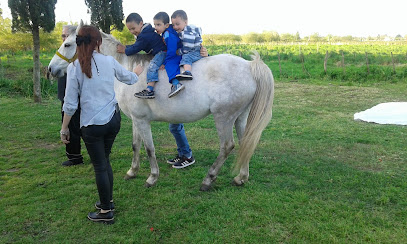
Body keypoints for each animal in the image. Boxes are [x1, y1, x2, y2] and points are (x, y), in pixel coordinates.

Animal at [49, 21, 276, 191]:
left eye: (68, 44)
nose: (51, 69)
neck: (127, 70)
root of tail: (249, 66)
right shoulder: (136, 120)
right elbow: (136, 145)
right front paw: (132, 172)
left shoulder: (143, 121)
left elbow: (149, 148)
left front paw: (152, 177)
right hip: (240, 117)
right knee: (246, 142)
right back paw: (241, 178)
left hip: (223, 118)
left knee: (227, 146)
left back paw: (208, 180)